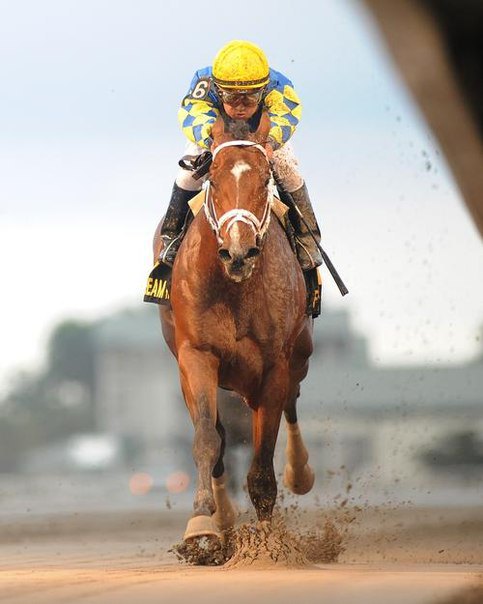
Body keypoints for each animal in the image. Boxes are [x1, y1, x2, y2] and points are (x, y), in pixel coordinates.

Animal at [153, 115, 316, 544]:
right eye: (213, 177)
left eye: (264, 179)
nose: (238, 252)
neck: (236, 288)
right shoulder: (197, 354)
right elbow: (208, 438)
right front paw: (202, 526)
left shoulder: (274, 364)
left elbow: (261, 465)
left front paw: (269, 545)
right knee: (220, 433)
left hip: (301, 354)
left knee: (292, 401)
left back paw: (300, 471)